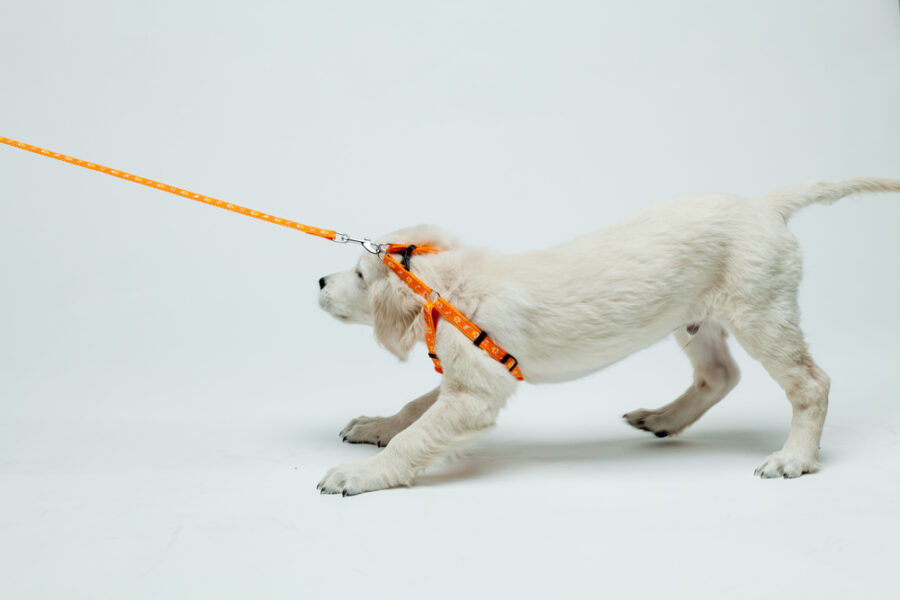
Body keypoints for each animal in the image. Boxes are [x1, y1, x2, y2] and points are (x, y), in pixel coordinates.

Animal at [314, 176, 900, 494]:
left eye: (360, 275)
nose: (319, 281)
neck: (451, 290)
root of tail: (764, 205)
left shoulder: (475, 393)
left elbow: (418, 435)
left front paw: (358, 474)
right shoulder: (473, 374)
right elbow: (415, 408)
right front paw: (376, 426)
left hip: (762, 311)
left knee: (811, 384)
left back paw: (794, 458)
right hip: (696, 317)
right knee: (720, 374)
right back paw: (664, 419)